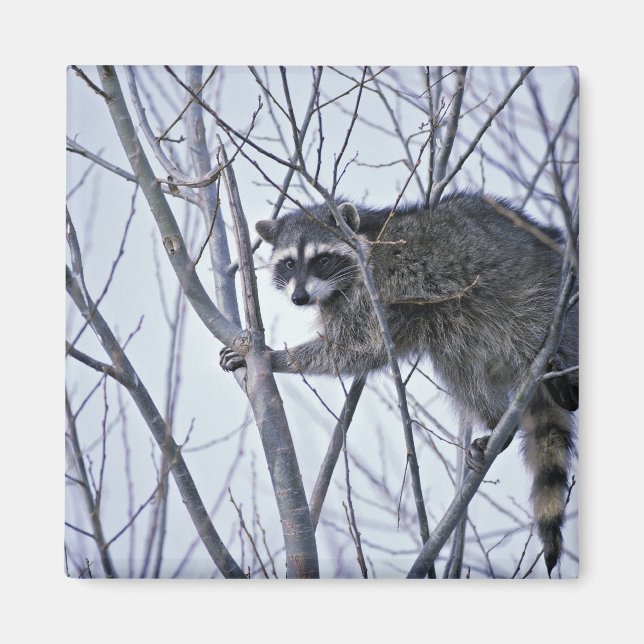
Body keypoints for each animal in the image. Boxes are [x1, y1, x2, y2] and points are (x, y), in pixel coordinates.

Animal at [220, 192, 579, 576]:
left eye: (322, 259)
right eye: (288, 264)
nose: (299, 298)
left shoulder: (374, 289)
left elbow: (356, 347)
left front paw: (276, 357)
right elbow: (360, 351)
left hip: (537, 297)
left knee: (529, 327)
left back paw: (563, 382)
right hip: (457, 326)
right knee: (459, 365)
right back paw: (497, 422)